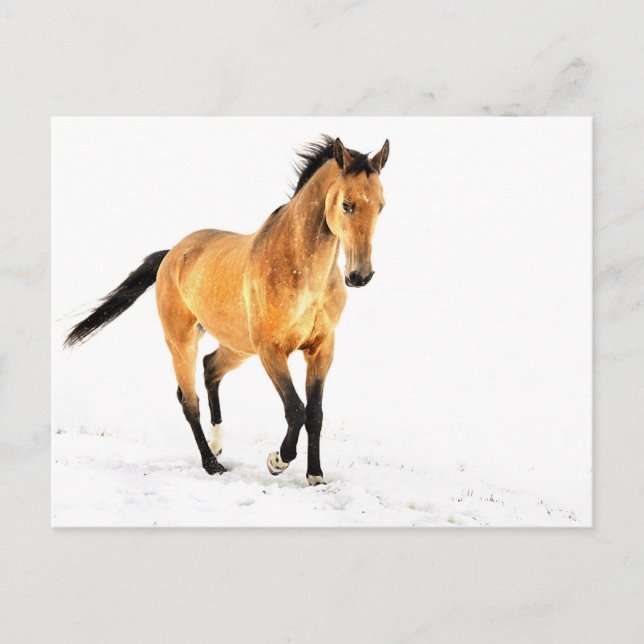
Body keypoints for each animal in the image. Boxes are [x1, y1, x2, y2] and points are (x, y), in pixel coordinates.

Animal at [64, 135, 389, 486]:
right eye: (346, 204)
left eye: (381, 206)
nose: (360, 276)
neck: (302, 274)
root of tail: (172, 253)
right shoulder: (271, 350)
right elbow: (296, 409)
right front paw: (277, 461)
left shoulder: (321, 348)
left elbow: (315, 413)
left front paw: (315, 477)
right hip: (182, 342)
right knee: (189, 400)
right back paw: (212, 464)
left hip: (238, 346)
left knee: (210, 369)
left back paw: (218, 446)